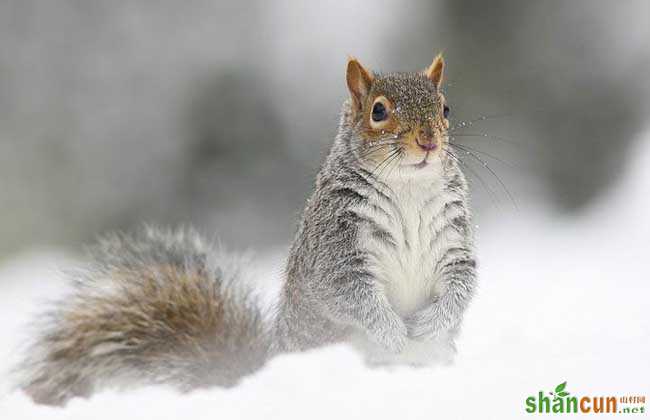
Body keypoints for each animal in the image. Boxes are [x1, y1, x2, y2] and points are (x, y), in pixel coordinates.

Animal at [17, 54, 476, 406]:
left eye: (445, 109)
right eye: (379, 110)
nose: (428, 141)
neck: (408, 187)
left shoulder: (454, 242)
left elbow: (462, 283)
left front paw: (432, 322)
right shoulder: (335, 247)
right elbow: (349, 292)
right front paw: (392, 331)